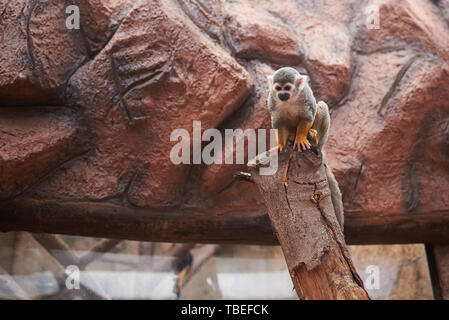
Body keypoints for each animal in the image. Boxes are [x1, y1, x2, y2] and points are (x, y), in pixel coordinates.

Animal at [266, 66, 344, 229]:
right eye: (278, 88)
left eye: (287, 88)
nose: (282, 94)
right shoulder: (272, 100)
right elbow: (279, 123)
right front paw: (281, 144)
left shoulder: (305, 96)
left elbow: (307, 116)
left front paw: (301, 137)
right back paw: (290, 139)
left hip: (320, 141)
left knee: (321, 106)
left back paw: (312, 135)